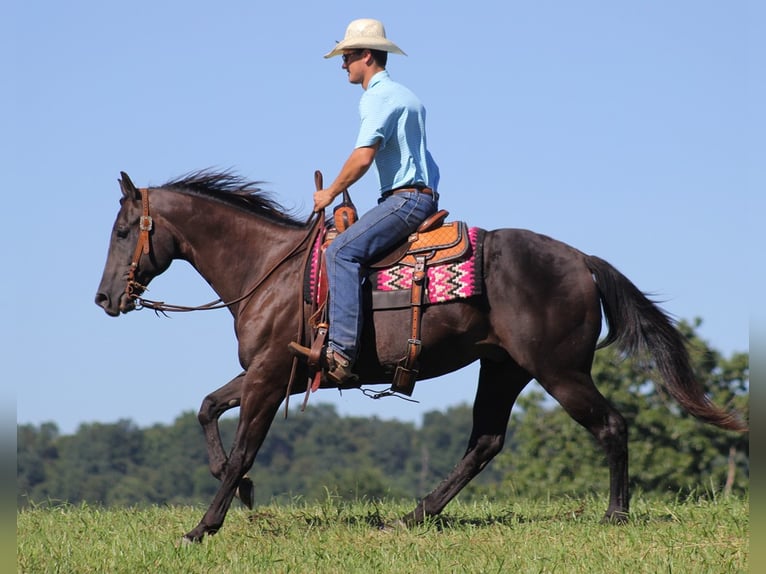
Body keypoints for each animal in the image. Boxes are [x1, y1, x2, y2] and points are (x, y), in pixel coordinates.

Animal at [93, 171, 748, 544]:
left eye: (124, 230)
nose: (104, 298)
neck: (268, 270)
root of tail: (581, 260)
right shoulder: (269, 375)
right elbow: (208, 410)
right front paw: (245, 495)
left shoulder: (269, 377)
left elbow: (241, 449)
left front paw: (203, 526)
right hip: (504, 369)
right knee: (485, 442)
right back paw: (415, 517)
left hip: (559, 372)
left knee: (611, 425)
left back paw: (615, 515)